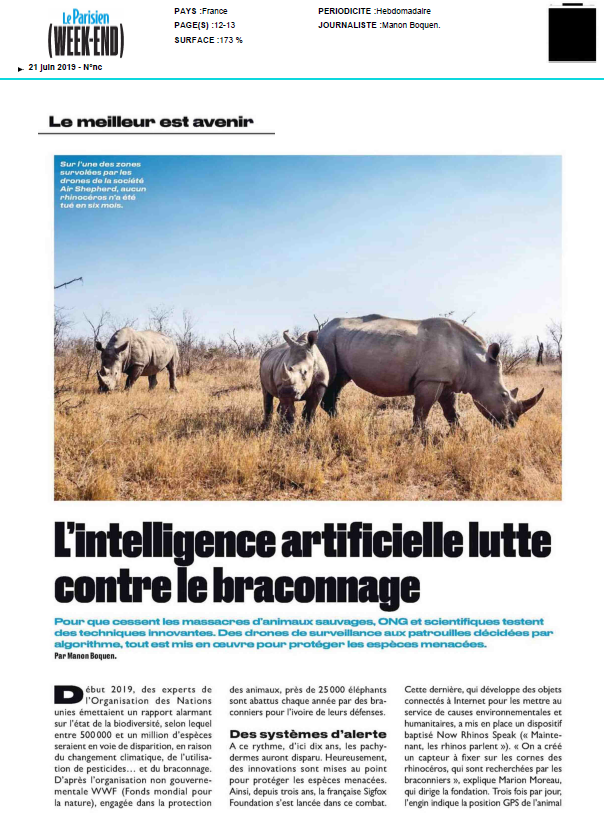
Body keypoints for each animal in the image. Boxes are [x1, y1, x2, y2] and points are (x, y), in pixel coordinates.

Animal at [316, 314, 544, 429]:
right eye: (503, 395)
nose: (512, 424)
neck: (477, 363)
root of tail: (324, 328)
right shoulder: (430, 380)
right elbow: (421, 411)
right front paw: (417, 439)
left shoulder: (447, 381)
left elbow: (451, 412)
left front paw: (460, 435)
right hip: (326, 340)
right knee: (333, 378)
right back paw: (338, 422)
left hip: (341, 340)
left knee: (339, 381)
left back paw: (339, 422)